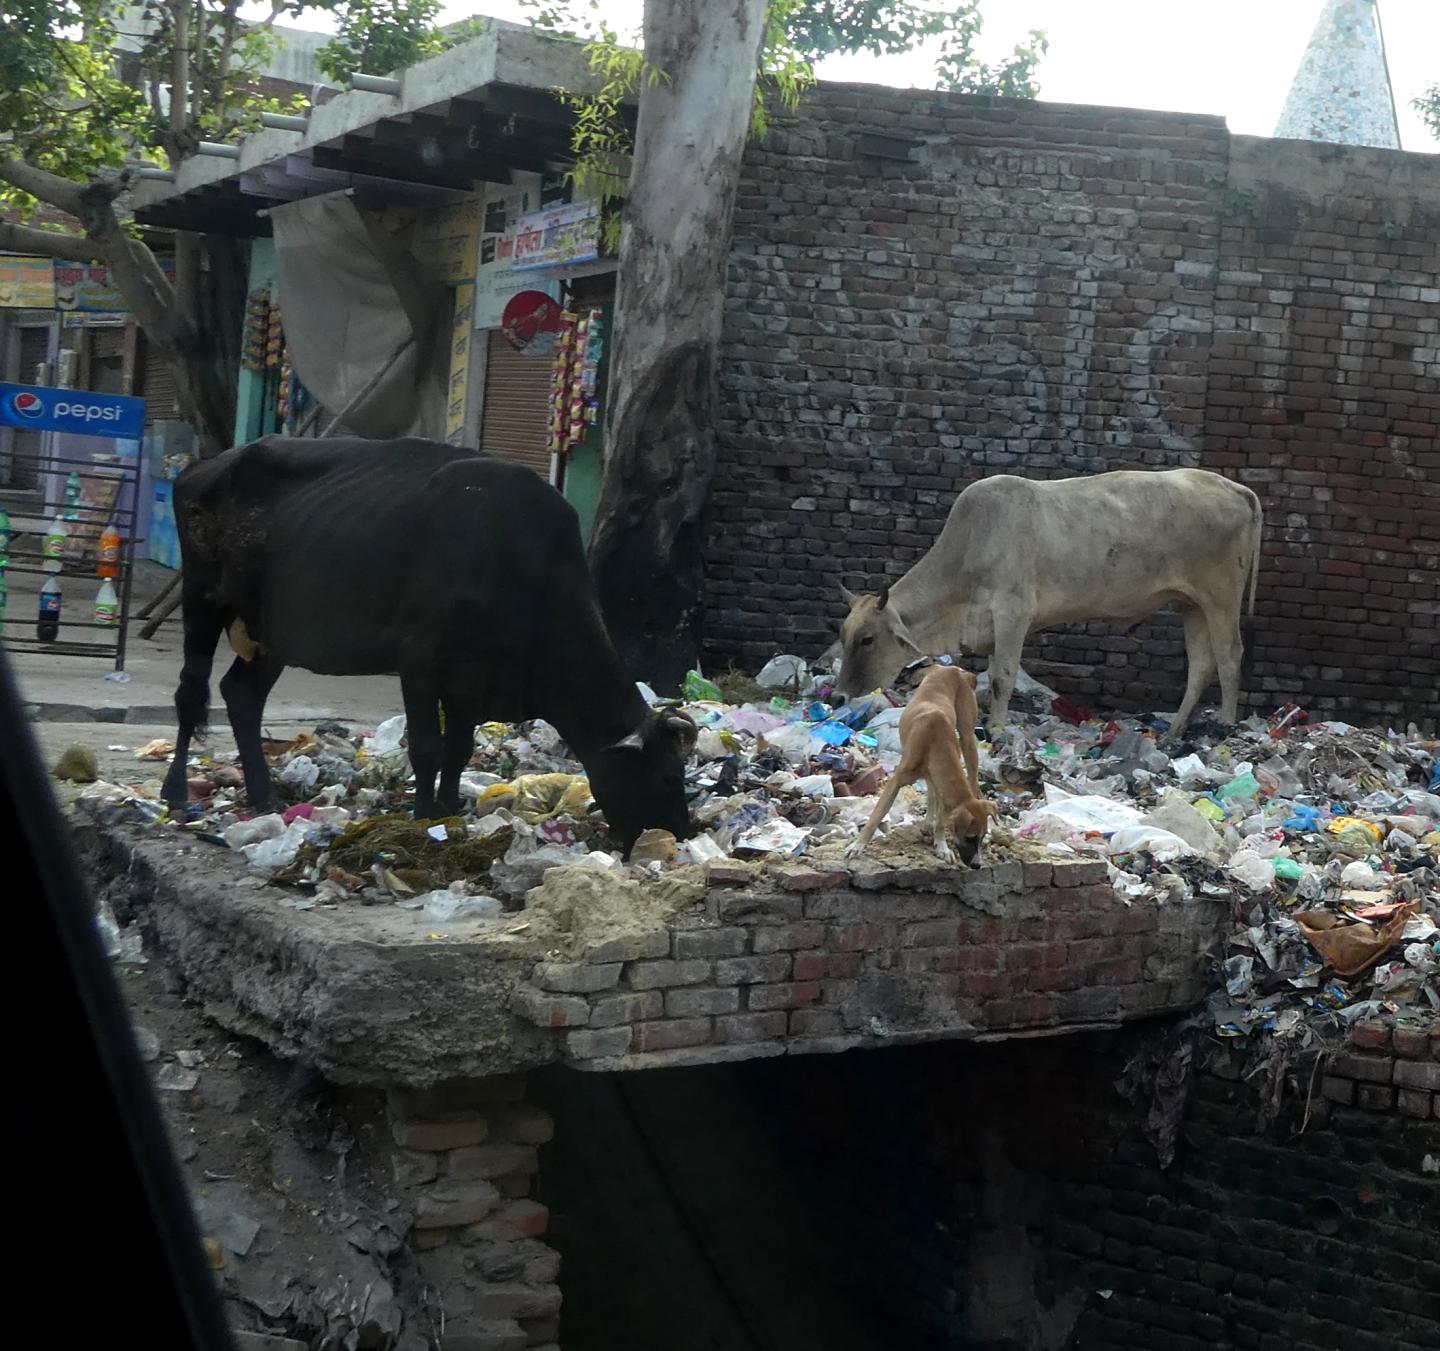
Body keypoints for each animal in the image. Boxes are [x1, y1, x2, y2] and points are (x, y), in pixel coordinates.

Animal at [160, 437, 694, 846]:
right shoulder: (419, 659)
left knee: (241, 694)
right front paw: (422, 817)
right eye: (668, 776)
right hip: (203, 598)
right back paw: (177, 793)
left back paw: (262, 793)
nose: (680, 836)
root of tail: (202, 467)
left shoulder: (471, 681)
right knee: (190, 694)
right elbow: (425, 747)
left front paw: (447, 808)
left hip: (273, 632)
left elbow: (457, 749)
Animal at [835, 466, 1261, 737]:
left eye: (868, 639)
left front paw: (997, 729)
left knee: (1229, 657)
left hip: (1221, 598)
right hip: (1192, 604)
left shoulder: (1012, 613)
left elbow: (1003, 679)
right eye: (844, 634)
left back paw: (1225, 724)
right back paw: (1174, 731)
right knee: (1201, 665)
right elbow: (992, 676)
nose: (839, 694)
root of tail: (1235, 488)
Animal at [846, 662, 996, 864]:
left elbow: (941, 817)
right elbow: (876, 816)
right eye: (970, 837)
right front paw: (858, 845)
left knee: (974, 785)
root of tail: (955, 670)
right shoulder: (896, 781)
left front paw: (941, 844)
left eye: (980, 837)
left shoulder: (943, 780)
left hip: (967, 739)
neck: (934, 739)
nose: (978, 865)